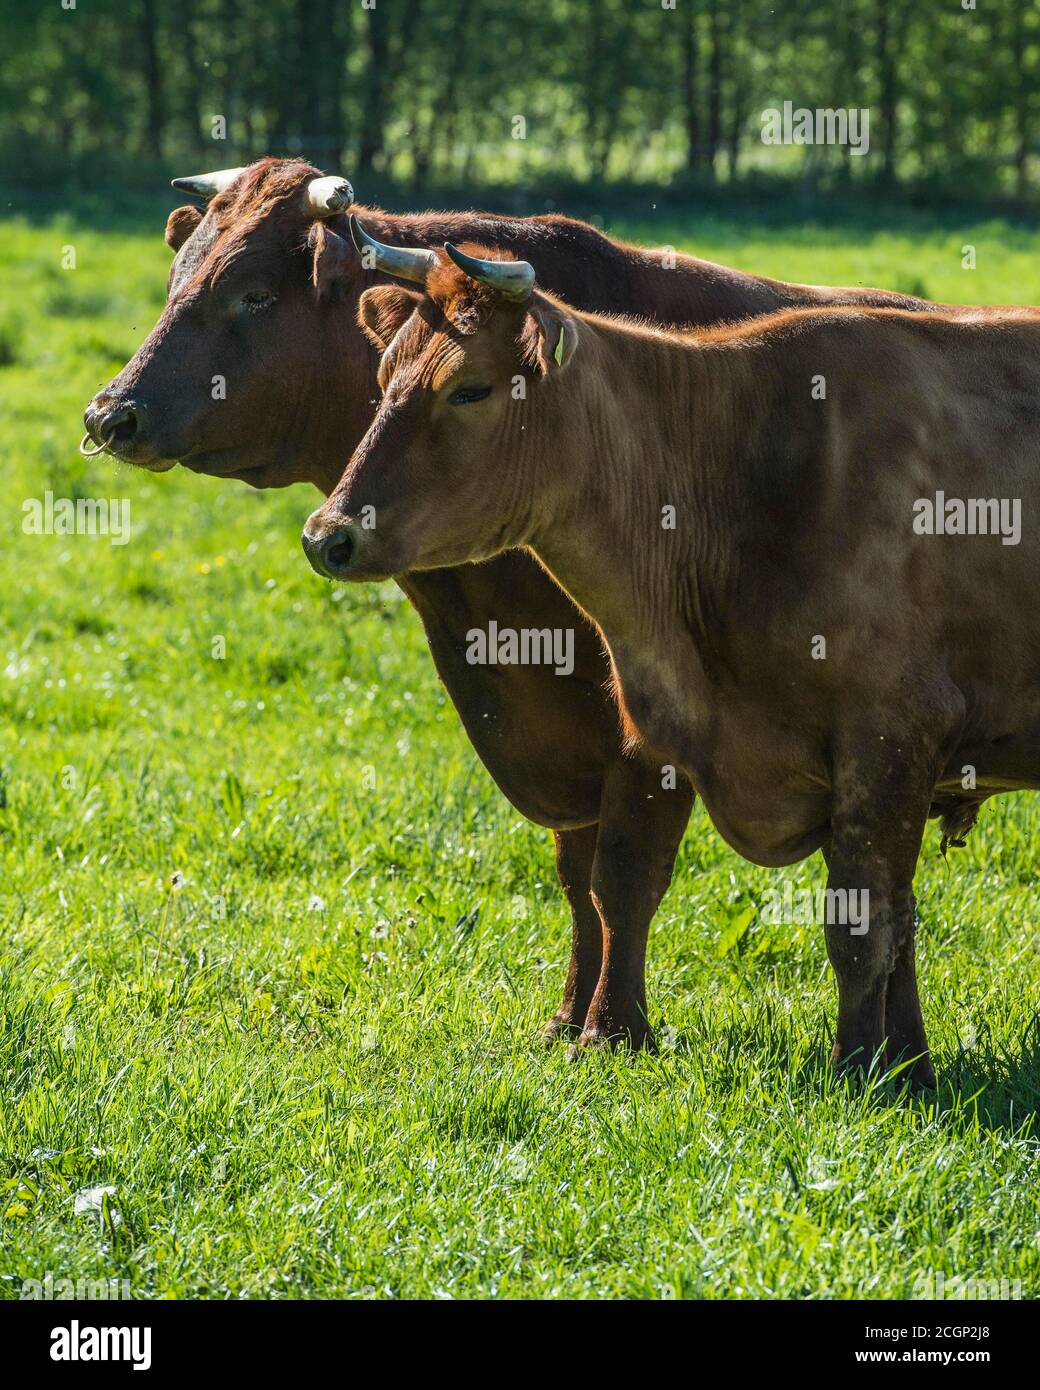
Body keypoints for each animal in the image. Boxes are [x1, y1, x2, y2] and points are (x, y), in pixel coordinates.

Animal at [84, 158, 938, 1054]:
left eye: (250, 293)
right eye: (176, 279)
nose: (111, 414)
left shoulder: (648, 720)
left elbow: (625, 877)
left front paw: (615, 1028)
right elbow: (577, 876)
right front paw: (570, 1013)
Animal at [303, 226, 1040, 1087]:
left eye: (470, 390)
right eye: (385, 378)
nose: (327, 535)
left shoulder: (888, 736)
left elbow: (862, 929)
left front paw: (860, 1069)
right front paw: (909, 1067)